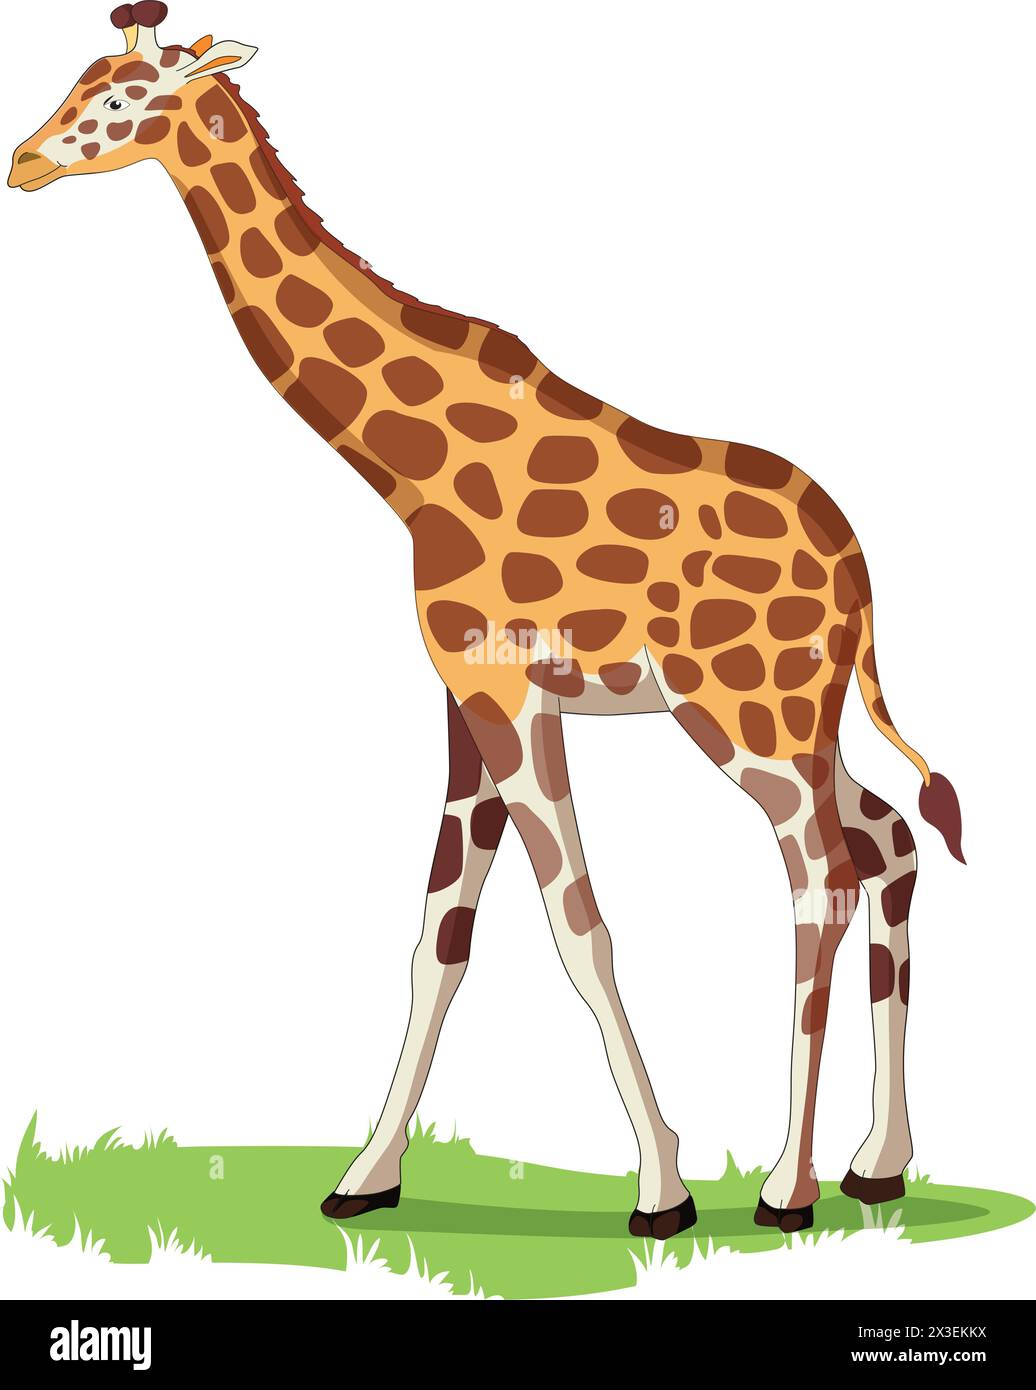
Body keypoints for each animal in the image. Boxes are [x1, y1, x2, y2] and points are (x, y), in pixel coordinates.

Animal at [9, 4, 965, 1237]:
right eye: (79, 76)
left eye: (126, 96)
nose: (25, 162)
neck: (405, 471)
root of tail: (857, 573)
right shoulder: (465, 698)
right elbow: (438, 937)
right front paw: (365, 1176)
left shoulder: (510, 695)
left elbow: (578, 928)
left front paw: (661, 1189)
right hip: (805, 714)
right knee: (889, 839)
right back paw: (877, 1160)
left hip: (744, 713)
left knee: (822, 874)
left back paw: (785, 1186)